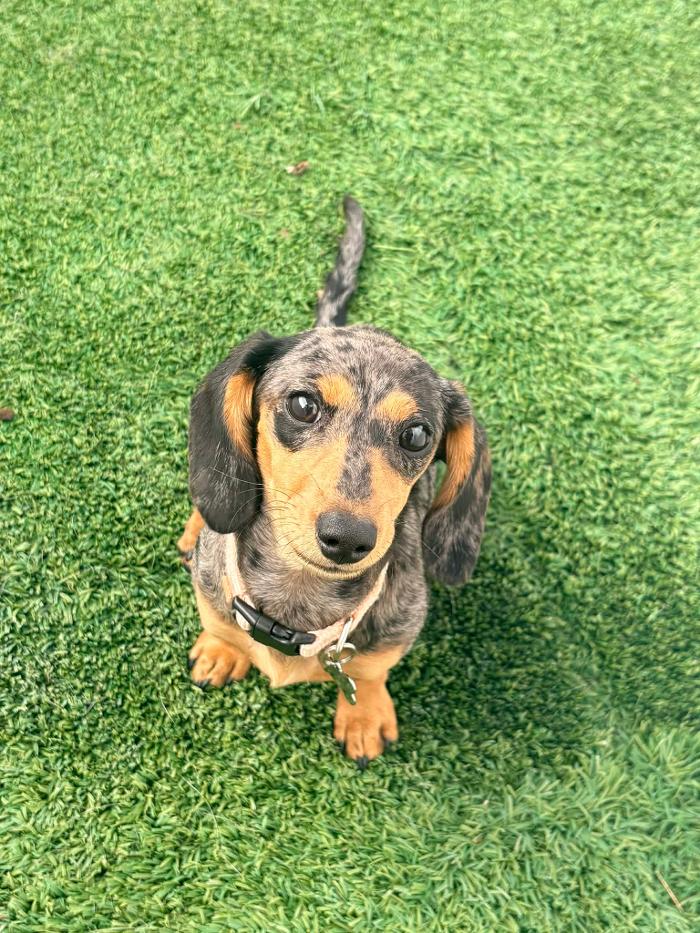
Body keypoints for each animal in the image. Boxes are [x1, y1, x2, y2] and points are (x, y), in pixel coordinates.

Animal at [178, 197, 491, 767]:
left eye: (417, 435)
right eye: (303, 404)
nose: (347, 538)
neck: (300, 603)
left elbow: (370, 669)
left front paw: (364, 713)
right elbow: (218, 623)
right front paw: (221, 649)